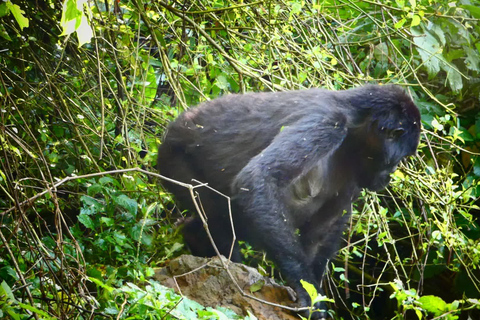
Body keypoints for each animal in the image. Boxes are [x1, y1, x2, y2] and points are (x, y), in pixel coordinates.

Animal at [158, 84, 420, 318]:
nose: (390, 174)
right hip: (174, 159)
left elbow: (322, 230)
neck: (355, 118)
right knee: (219, 218)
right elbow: (259, 179)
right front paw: (306, 292)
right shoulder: (327, 123)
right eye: (399, 157)